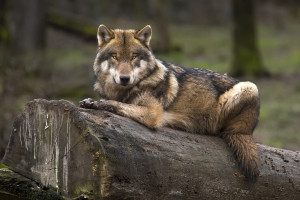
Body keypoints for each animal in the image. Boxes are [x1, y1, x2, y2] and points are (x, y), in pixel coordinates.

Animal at [80, 24, 260, 181]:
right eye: (115, 57)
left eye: (133, 57)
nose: (125, 78)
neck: (123, 91)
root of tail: (248, 130)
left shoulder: (152, 113)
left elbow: (117, 104)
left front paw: (96, 104)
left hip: (250, 87)